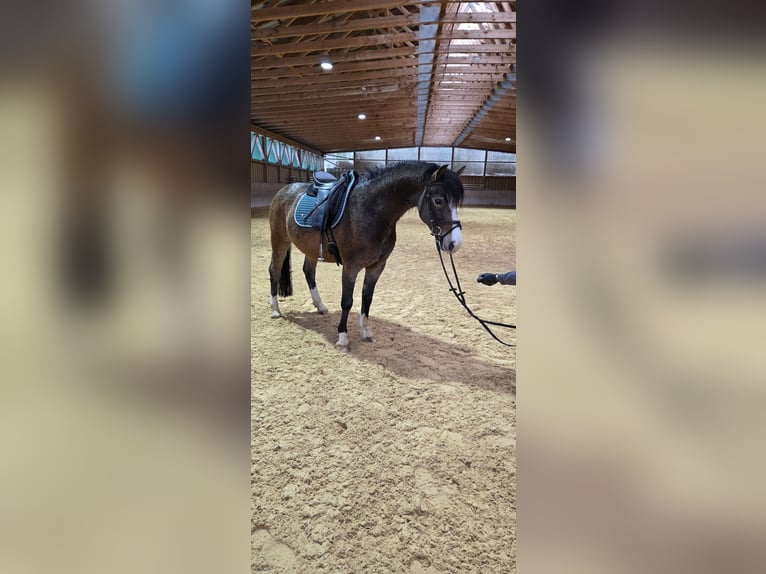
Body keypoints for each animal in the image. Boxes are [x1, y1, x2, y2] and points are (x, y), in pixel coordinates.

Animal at [268, 161, 466, 351]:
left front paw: (366, 332)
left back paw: (320, 306)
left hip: (312, 249)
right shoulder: (350, 267)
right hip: (279, 241)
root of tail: (285, 190)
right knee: (274, 271)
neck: (369, 211)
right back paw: (275, 310)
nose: (455, 244)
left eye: (456, 203)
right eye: (438, 200)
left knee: (308, 271)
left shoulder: (377, 266)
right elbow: (347, 301)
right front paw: (342, 338)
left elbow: (367, 298)